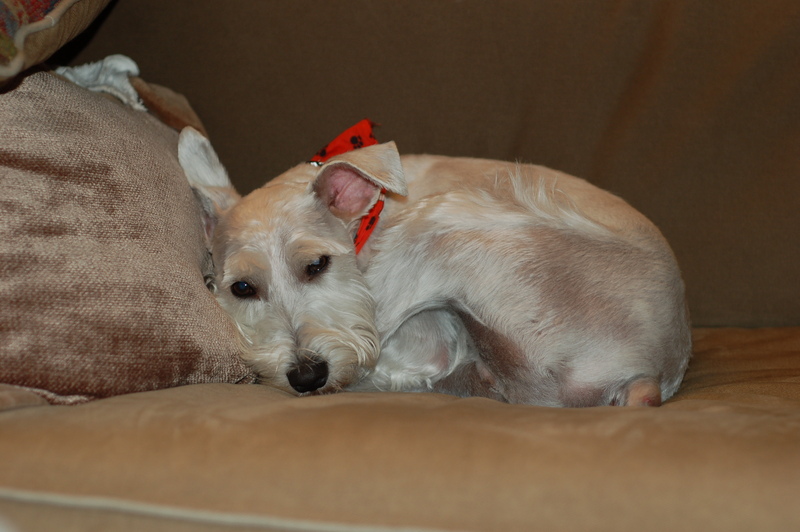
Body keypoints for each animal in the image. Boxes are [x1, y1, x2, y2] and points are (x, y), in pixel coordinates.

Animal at [179, 123, 691, 407]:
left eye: (318, 264)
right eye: (243, 288)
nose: (307, 377)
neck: (368, 220)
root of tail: (651, 375)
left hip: (444, 225)